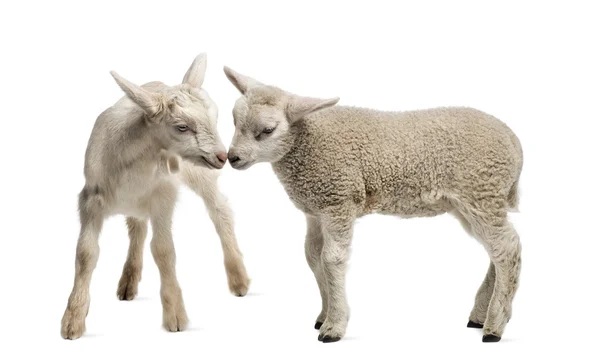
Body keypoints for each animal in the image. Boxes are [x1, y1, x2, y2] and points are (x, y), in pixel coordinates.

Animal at [60, 54, 248, 342]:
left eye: (216, 118)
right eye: (182, 127)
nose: (222, 156)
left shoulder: (163, 196)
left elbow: (163, 250)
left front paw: (175, 316)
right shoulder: (91, 199)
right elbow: (85, 253)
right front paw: (73, 320)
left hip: (198, 174)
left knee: (220, 210)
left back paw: (238, 278)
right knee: (136, 226)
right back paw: (128, 282)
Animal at [223, 67, 524, 344]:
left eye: (267, 130)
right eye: (234, 121)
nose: (232, 157)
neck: (308, 140)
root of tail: (513, 140)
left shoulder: (339, 201)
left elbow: (331, 260)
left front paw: (334, 326)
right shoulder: (316, 209)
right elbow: (313, 257)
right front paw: (323, 315)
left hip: (481, 191)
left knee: (506, 248)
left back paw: (495, 326)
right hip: (472, 201)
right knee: (498, 249)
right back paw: (483, 314)